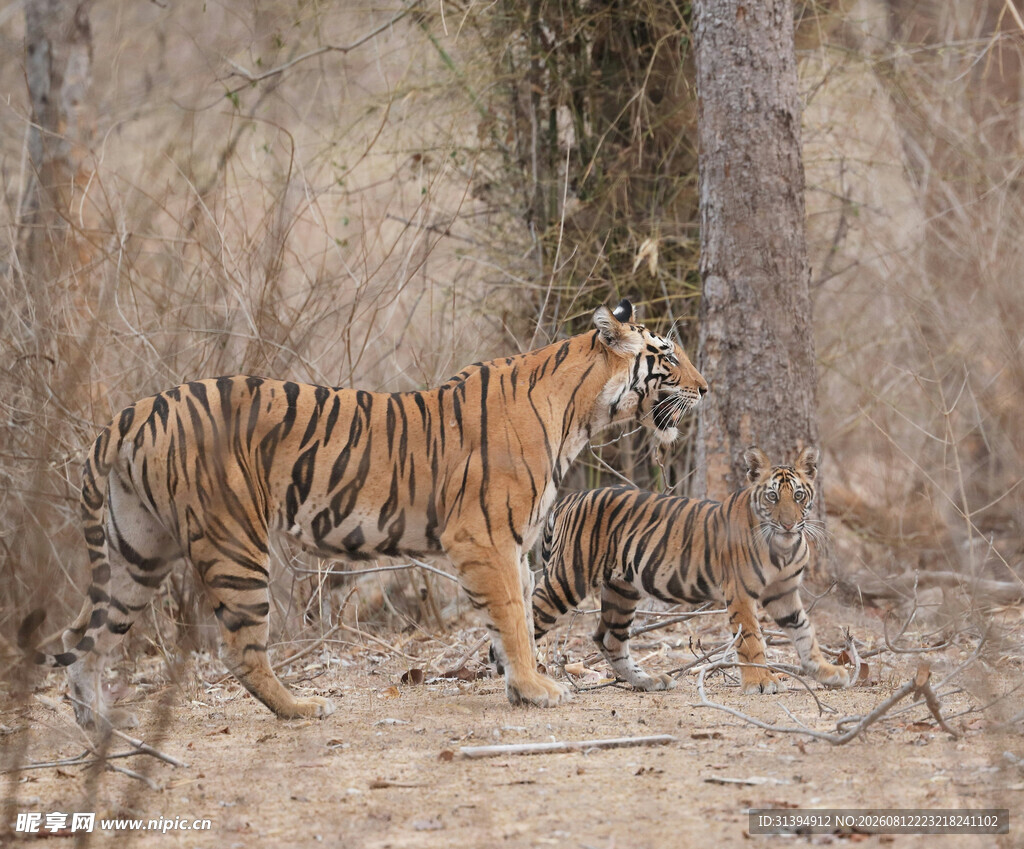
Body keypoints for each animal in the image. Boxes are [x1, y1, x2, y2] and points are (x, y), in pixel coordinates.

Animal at [20, 299, 707, 728]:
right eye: (668, 357)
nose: (706, 390)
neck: (581, 414)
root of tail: (127, 415)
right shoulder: (485, 539)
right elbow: (515, 619)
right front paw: (537, 689)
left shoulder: (511, 546)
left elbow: (514, 621)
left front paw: (520, 688)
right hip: (234, 544)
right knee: (239, 650)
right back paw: (302, 710)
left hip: (136, 553)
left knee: (82, 637)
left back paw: (99, 726)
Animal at [531, 446, 851, 694]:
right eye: (772, 497)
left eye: (798, 495)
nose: (788, 524)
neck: (783, 548)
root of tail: (570, 498)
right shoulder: (740, 594)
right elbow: (751, 640)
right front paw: (761, 682)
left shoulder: (783, 593)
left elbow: (805, 632)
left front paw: (827, 671)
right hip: (569, 577)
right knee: (530, 616)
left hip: (622, 590)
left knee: (610, 639)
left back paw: (648, 681)